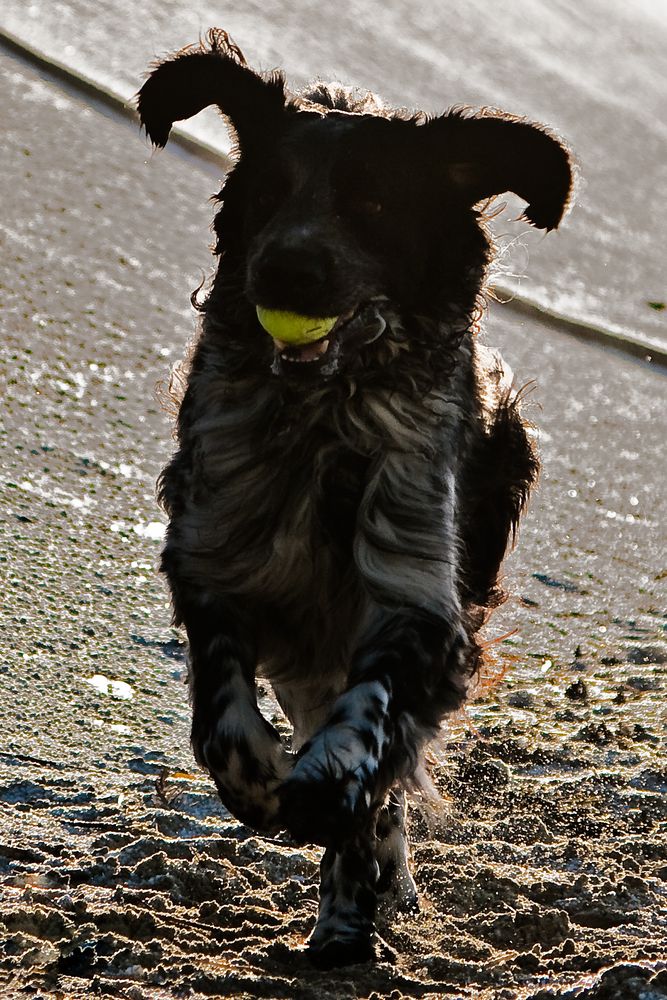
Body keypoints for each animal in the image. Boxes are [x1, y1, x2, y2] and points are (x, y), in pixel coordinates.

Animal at [137, 29, 576, 968]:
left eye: (372, 203)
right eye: (267, 195)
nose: (287, 270)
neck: (320, 429)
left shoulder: (421, 601)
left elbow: (370, 728)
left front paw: (331, 789)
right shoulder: (217, 558)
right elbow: (222, 721)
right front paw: (265, 783)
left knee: (386, 772)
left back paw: (351, 905)